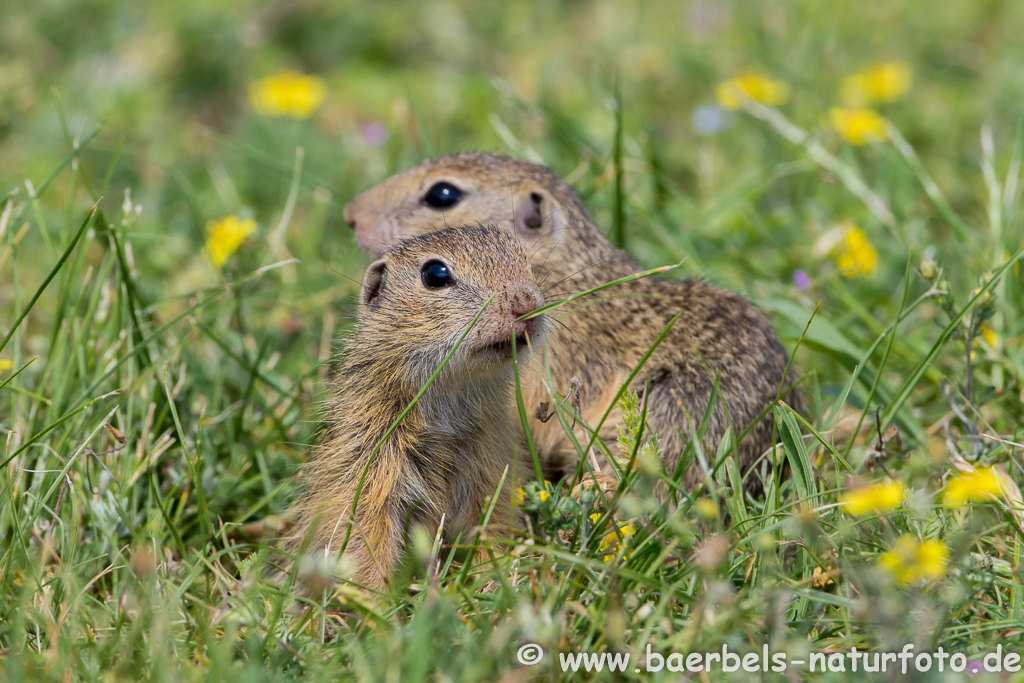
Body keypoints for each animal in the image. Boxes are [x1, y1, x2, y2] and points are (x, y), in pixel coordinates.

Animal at [282, 227, 544, 589]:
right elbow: (364, 538)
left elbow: (492, 524)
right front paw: (372, 601)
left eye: (526, 260)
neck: (451, 400)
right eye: (435, 274)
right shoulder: (369, 470)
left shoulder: (491, 467)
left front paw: (494, 581)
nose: (526, 305)